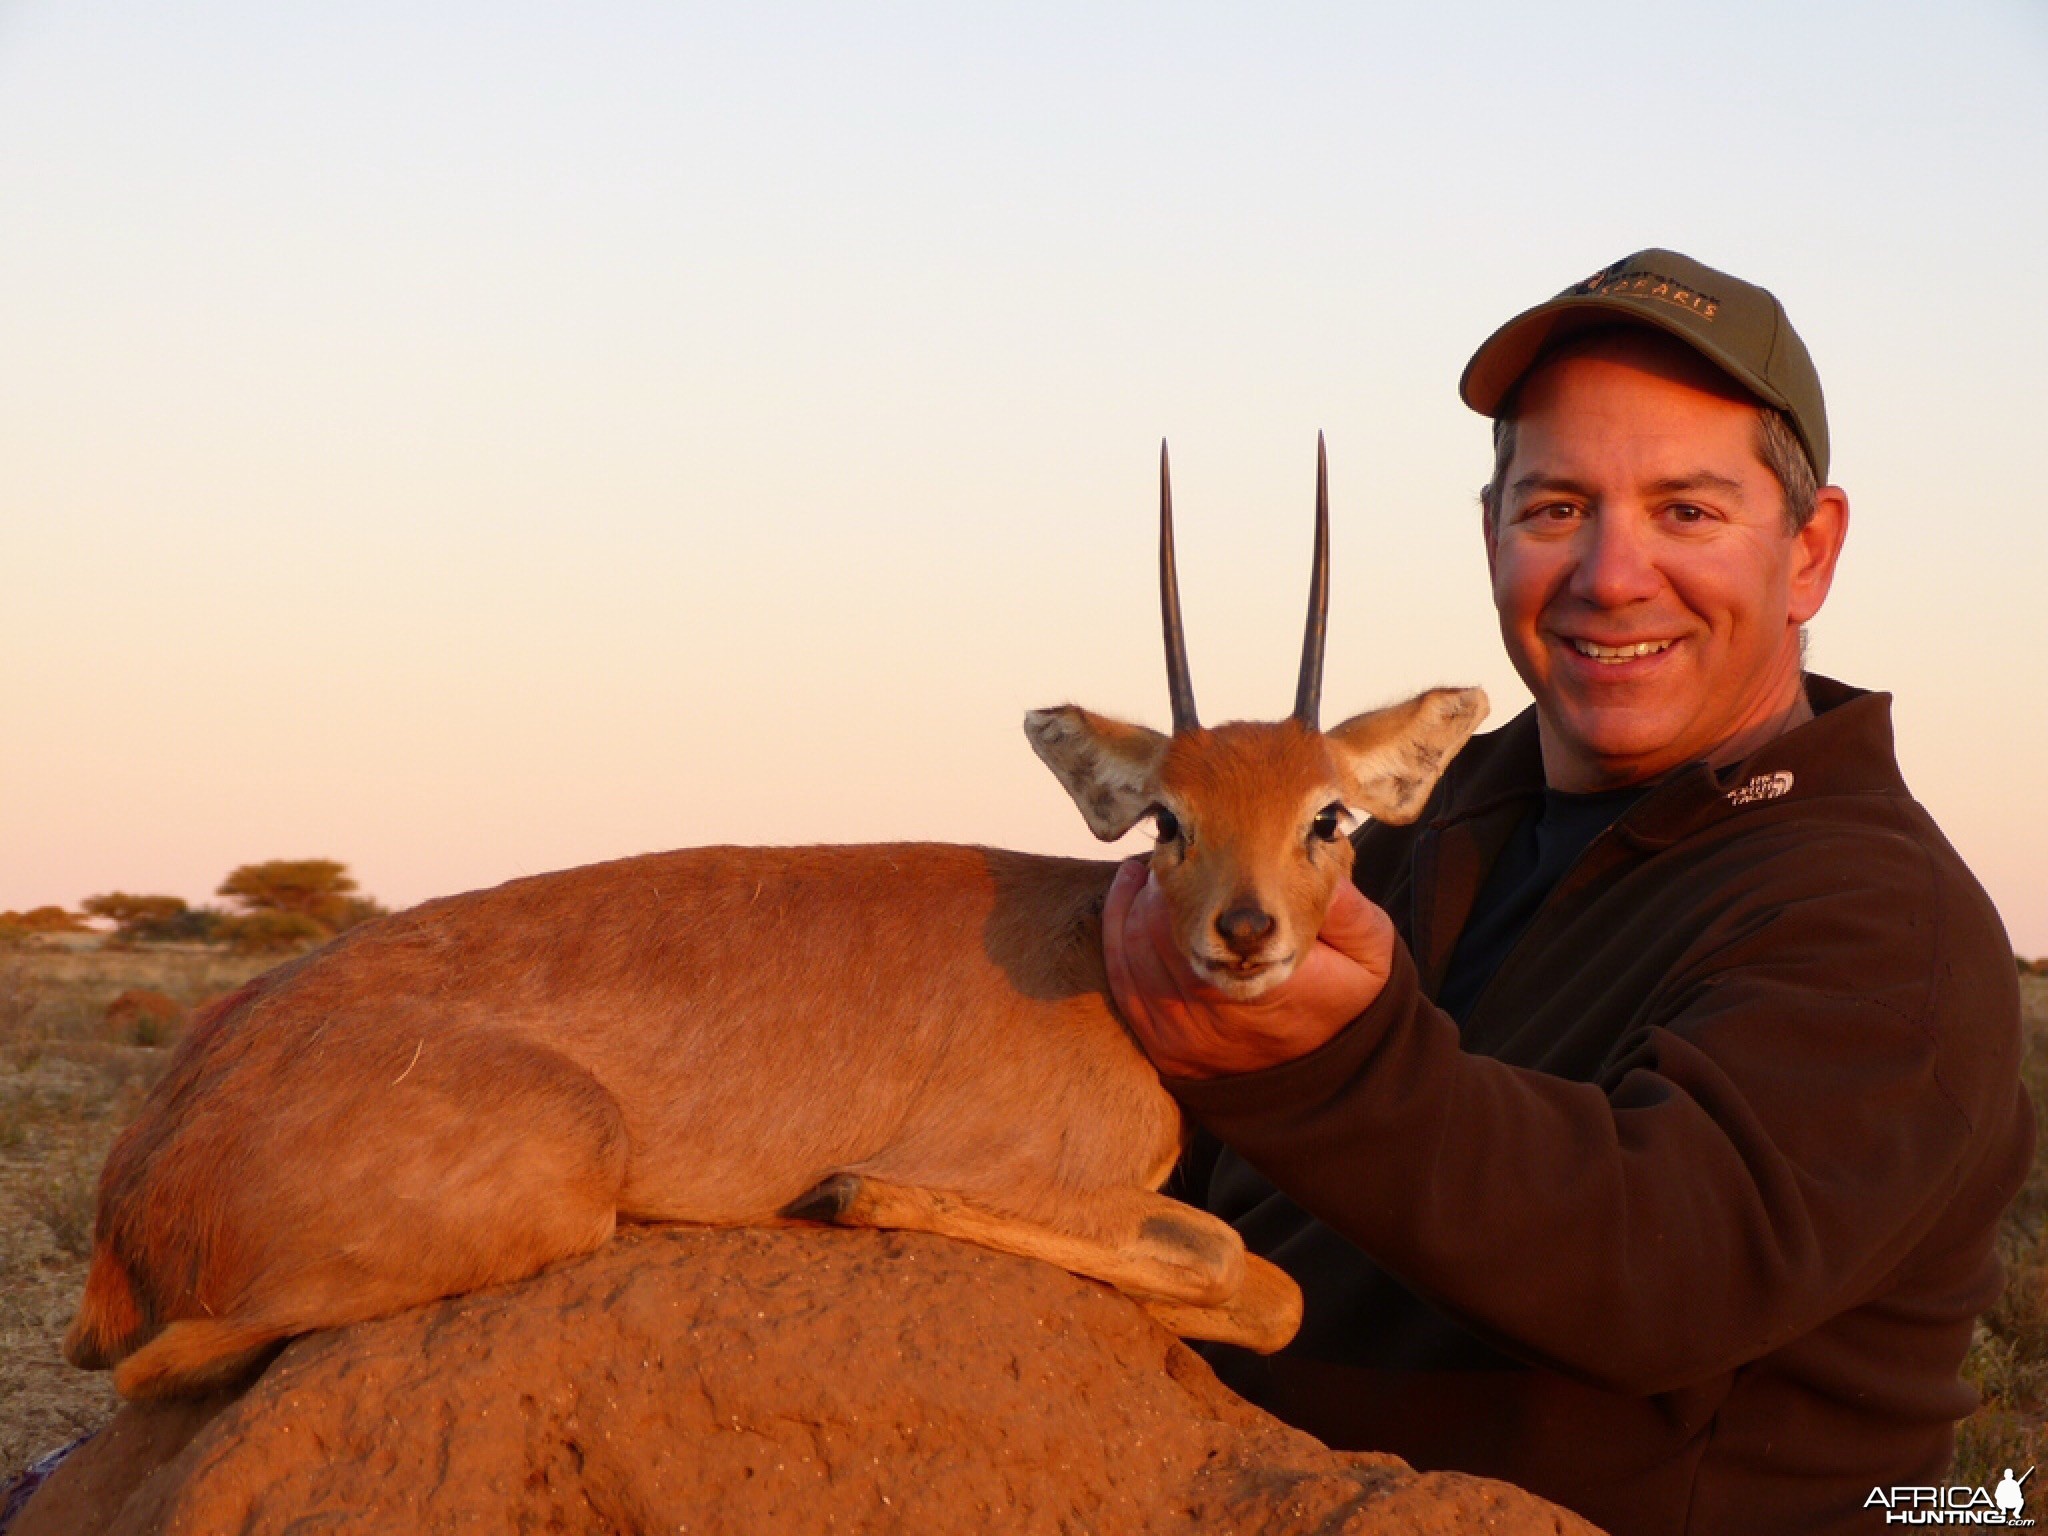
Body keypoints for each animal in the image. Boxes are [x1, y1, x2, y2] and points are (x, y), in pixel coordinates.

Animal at [68, 438, 1490, 1400]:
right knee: (152, 1369)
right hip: (558, 1177)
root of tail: (152, 1151)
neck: (1088, 951)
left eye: (1327, 816)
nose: (1242, 935)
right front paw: (851, 1190)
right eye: (1165, 821)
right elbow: (1254, 1275)